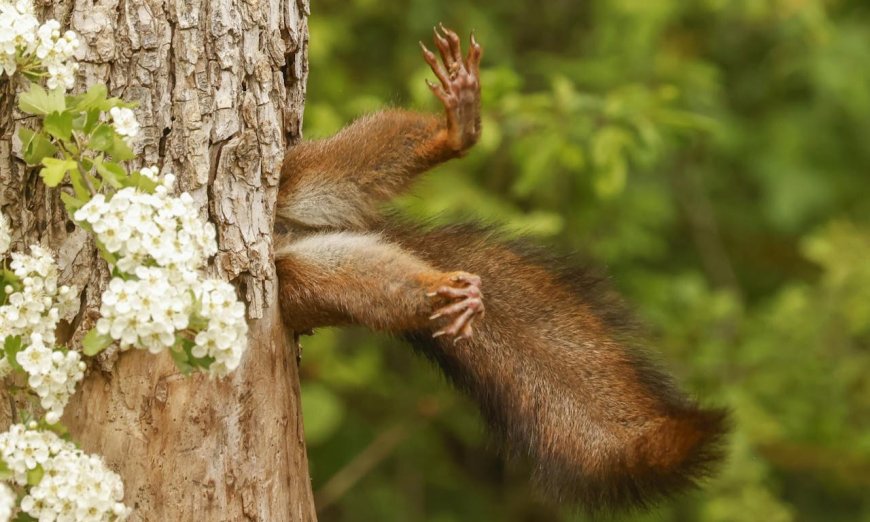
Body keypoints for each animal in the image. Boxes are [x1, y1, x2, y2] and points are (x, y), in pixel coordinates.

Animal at [278, 26, 728, 510]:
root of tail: (288, 234)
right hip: (302, 279)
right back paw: (446, 292)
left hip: (298, 176)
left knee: (352, 162)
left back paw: (456, 131)